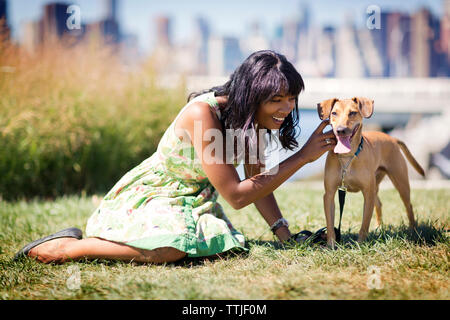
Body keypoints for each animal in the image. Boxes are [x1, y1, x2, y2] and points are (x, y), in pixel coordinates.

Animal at [316, 96, 426, 246]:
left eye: (352, 113)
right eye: (334, 113)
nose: (340, 130)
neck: (348, 156)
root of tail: (391, 138)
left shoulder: (367, 193)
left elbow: (364, 224)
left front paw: (360, 244)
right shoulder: (329, 194)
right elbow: (330, 224)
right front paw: (331, 245)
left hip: (400, 182)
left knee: (408, 206)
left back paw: (413, 230)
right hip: (377, 184)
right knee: (379, 203)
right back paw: (380, 228)